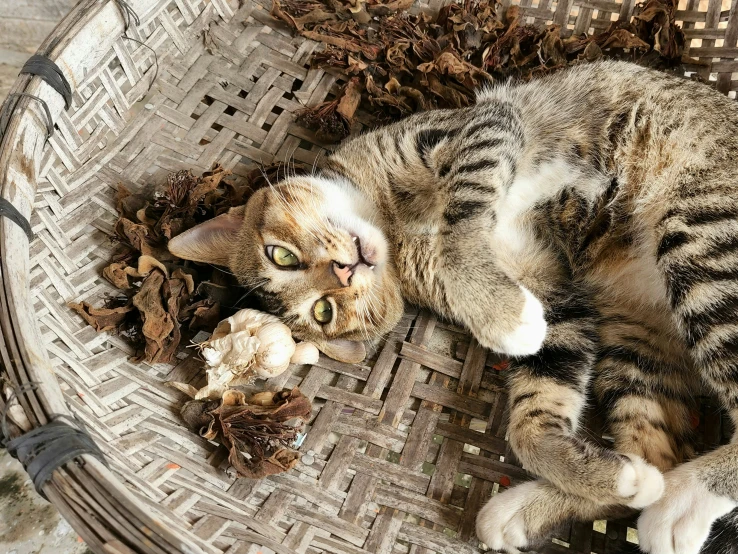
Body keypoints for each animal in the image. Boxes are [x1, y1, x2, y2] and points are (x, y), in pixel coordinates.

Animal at [170, 60, 736, 552]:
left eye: (281, 256)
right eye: (325, 313)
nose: (345, 272)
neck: (396, 229)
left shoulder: (477, 130)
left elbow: (461, 222)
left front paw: (497, 310)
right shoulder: (555, 291)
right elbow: (532, 416)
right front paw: (608, 477)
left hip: (700, 231)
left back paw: (681, 502)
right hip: (634, 337)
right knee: (657, 451)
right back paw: (574, 502)